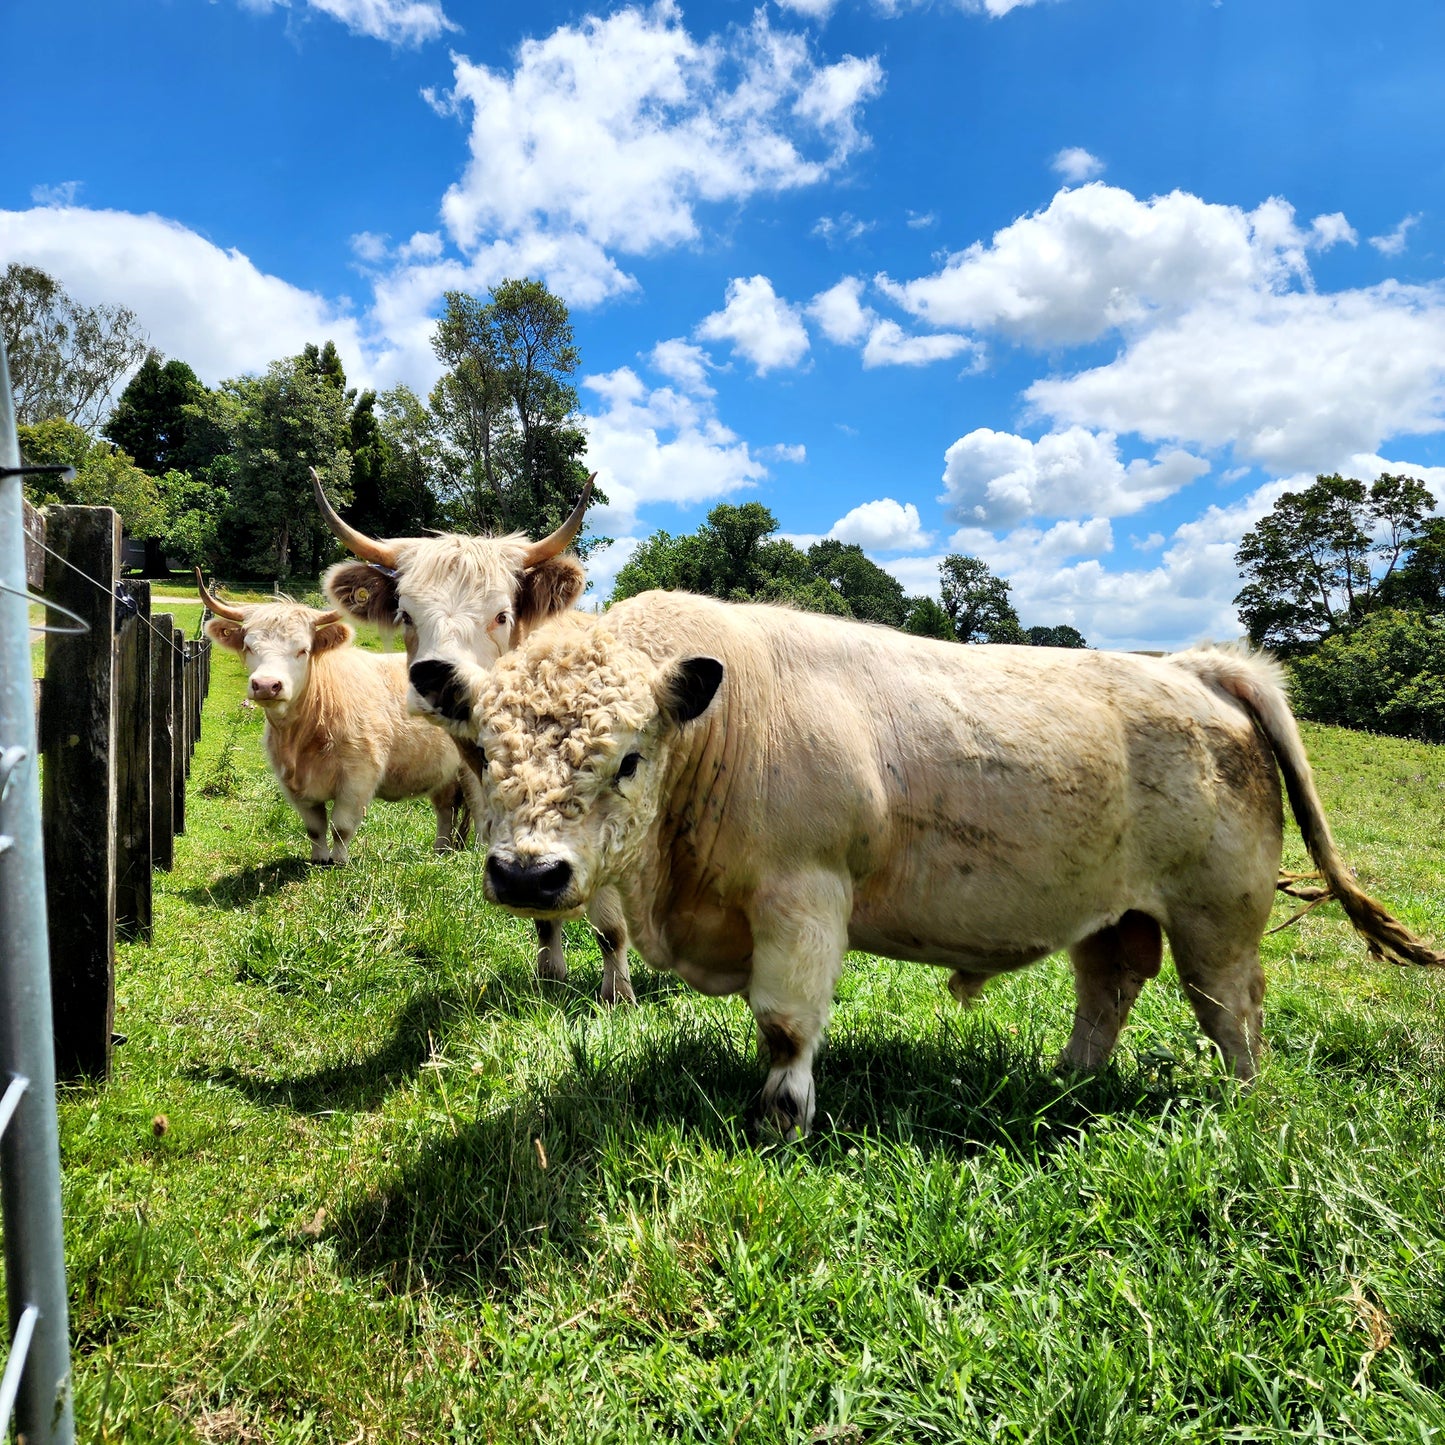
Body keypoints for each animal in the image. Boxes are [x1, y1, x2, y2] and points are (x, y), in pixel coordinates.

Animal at [310, 473, 632, 1005]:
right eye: (406, 615)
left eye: (501, 615)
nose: (435, 678)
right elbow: (542, 911)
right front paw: (550, 978)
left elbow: (609, 925)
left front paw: (617, 996)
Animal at [450, 592, 1445, 1132]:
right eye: (482, 753)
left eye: (627, 757)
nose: (529, 876)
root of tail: (1198, 666)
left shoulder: (803, 896)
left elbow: (785, 1026)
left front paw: (781, 1124)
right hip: (1111, 905)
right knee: (1111, 982)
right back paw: (1067, 1081)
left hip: (1218, 911)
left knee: (1229, 1010)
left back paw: (1236, 1104)